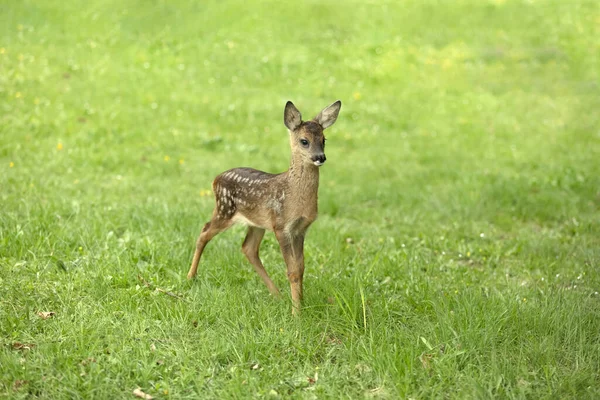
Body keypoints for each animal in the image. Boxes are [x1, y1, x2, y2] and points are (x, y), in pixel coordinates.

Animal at [188, 98, 342, 314]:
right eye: (304, 141)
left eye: (324, 139)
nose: (320, 157)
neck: (293, 194)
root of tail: (215, 179)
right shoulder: (281, 225)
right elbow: (292, 270)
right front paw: (297, 313)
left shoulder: (300, 228)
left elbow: (301, 268)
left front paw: (300, 304)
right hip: (225, 209)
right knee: (204, 231)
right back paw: (190, 277)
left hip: (256, 223)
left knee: (248, 248)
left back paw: (277, 295)